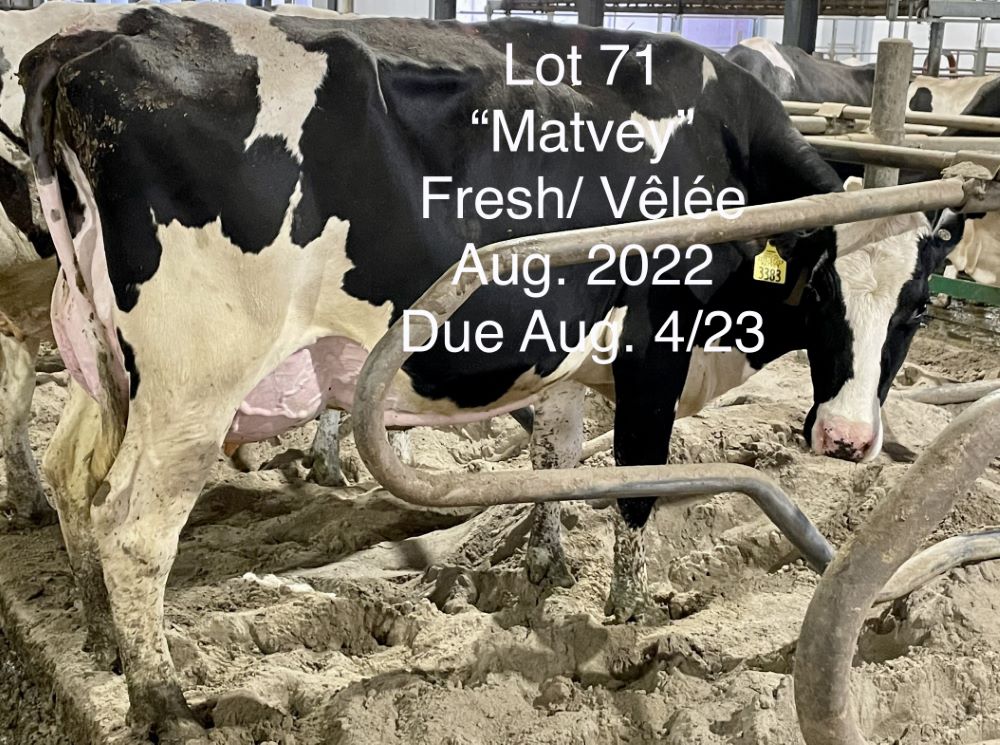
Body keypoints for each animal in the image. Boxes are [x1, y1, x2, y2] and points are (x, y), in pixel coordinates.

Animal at [23, 7, 959, 739]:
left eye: (915, 307)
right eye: (825, 293)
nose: (849, 439)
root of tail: (96, 40)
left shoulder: (572, 345)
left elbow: (556, 457)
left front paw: (547, 570)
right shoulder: (655, 347)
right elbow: (638, 485)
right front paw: (626, 614)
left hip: (103, 359)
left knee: (70, 476)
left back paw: (101, 638)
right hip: (194, 385)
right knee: (135, 531)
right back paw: (163, 702)